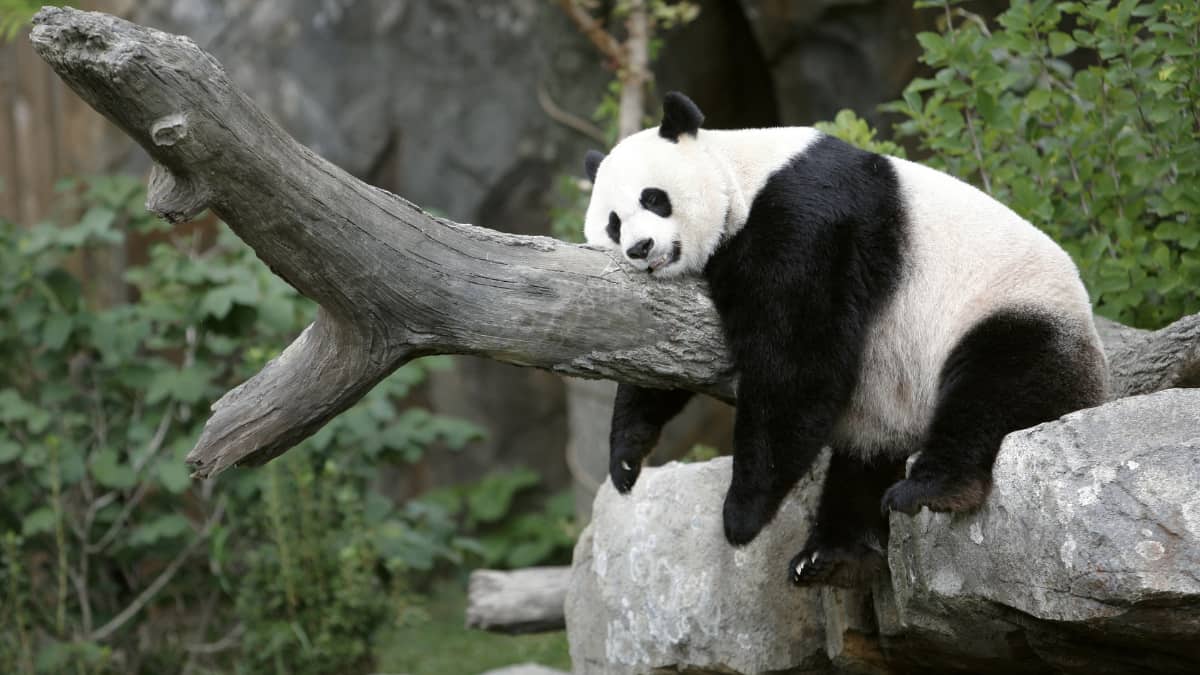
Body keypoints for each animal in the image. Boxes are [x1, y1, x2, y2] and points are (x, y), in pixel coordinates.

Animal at [583, 91, 1108, 588]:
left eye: (654, 198)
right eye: (613, 222)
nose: (640, 249)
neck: (743, 174)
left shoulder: (807, 219)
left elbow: (797, 360)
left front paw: (741, 515)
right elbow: (662, 353)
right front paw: (626, 459)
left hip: (1013, 311)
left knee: (994, 387)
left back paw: (932, 489)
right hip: (890, 406)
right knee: (865, 460)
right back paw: (832, 554)